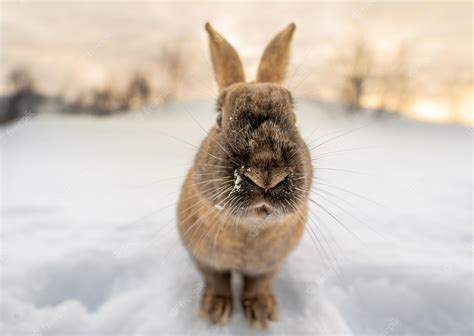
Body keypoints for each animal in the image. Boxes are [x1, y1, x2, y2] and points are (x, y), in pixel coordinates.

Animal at [176, 22, 312, 330]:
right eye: (218, 119)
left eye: (295, 118)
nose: (266, 174)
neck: (250, 229)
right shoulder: (204, 260)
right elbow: (217, 280)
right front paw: (215, 312)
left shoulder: (268, 266)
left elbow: (256, 284)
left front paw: (262, 314)